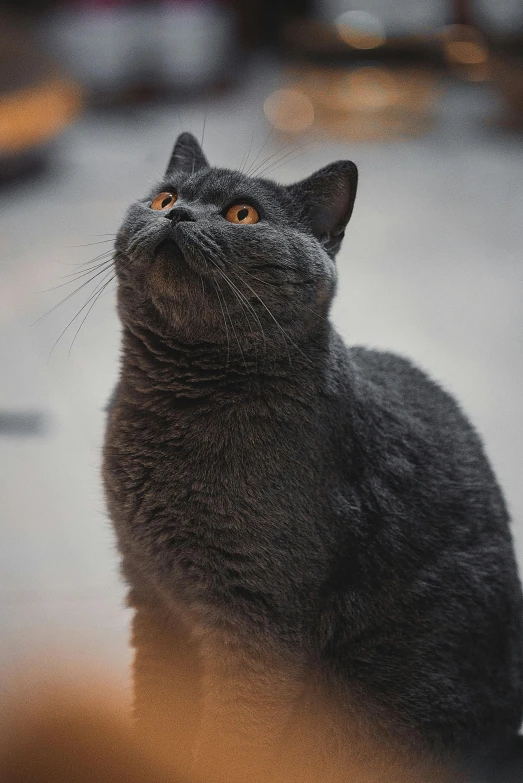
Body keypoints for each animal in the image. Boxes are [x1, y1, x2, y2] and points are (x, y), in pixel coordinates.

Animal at [103, 132, 523, 780]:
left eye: (242, 215)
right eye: (164, 197)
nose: (177, 214)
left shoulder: (257, 625)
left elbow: (230, 742)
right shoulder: (150, 593)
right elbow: (154, 707)